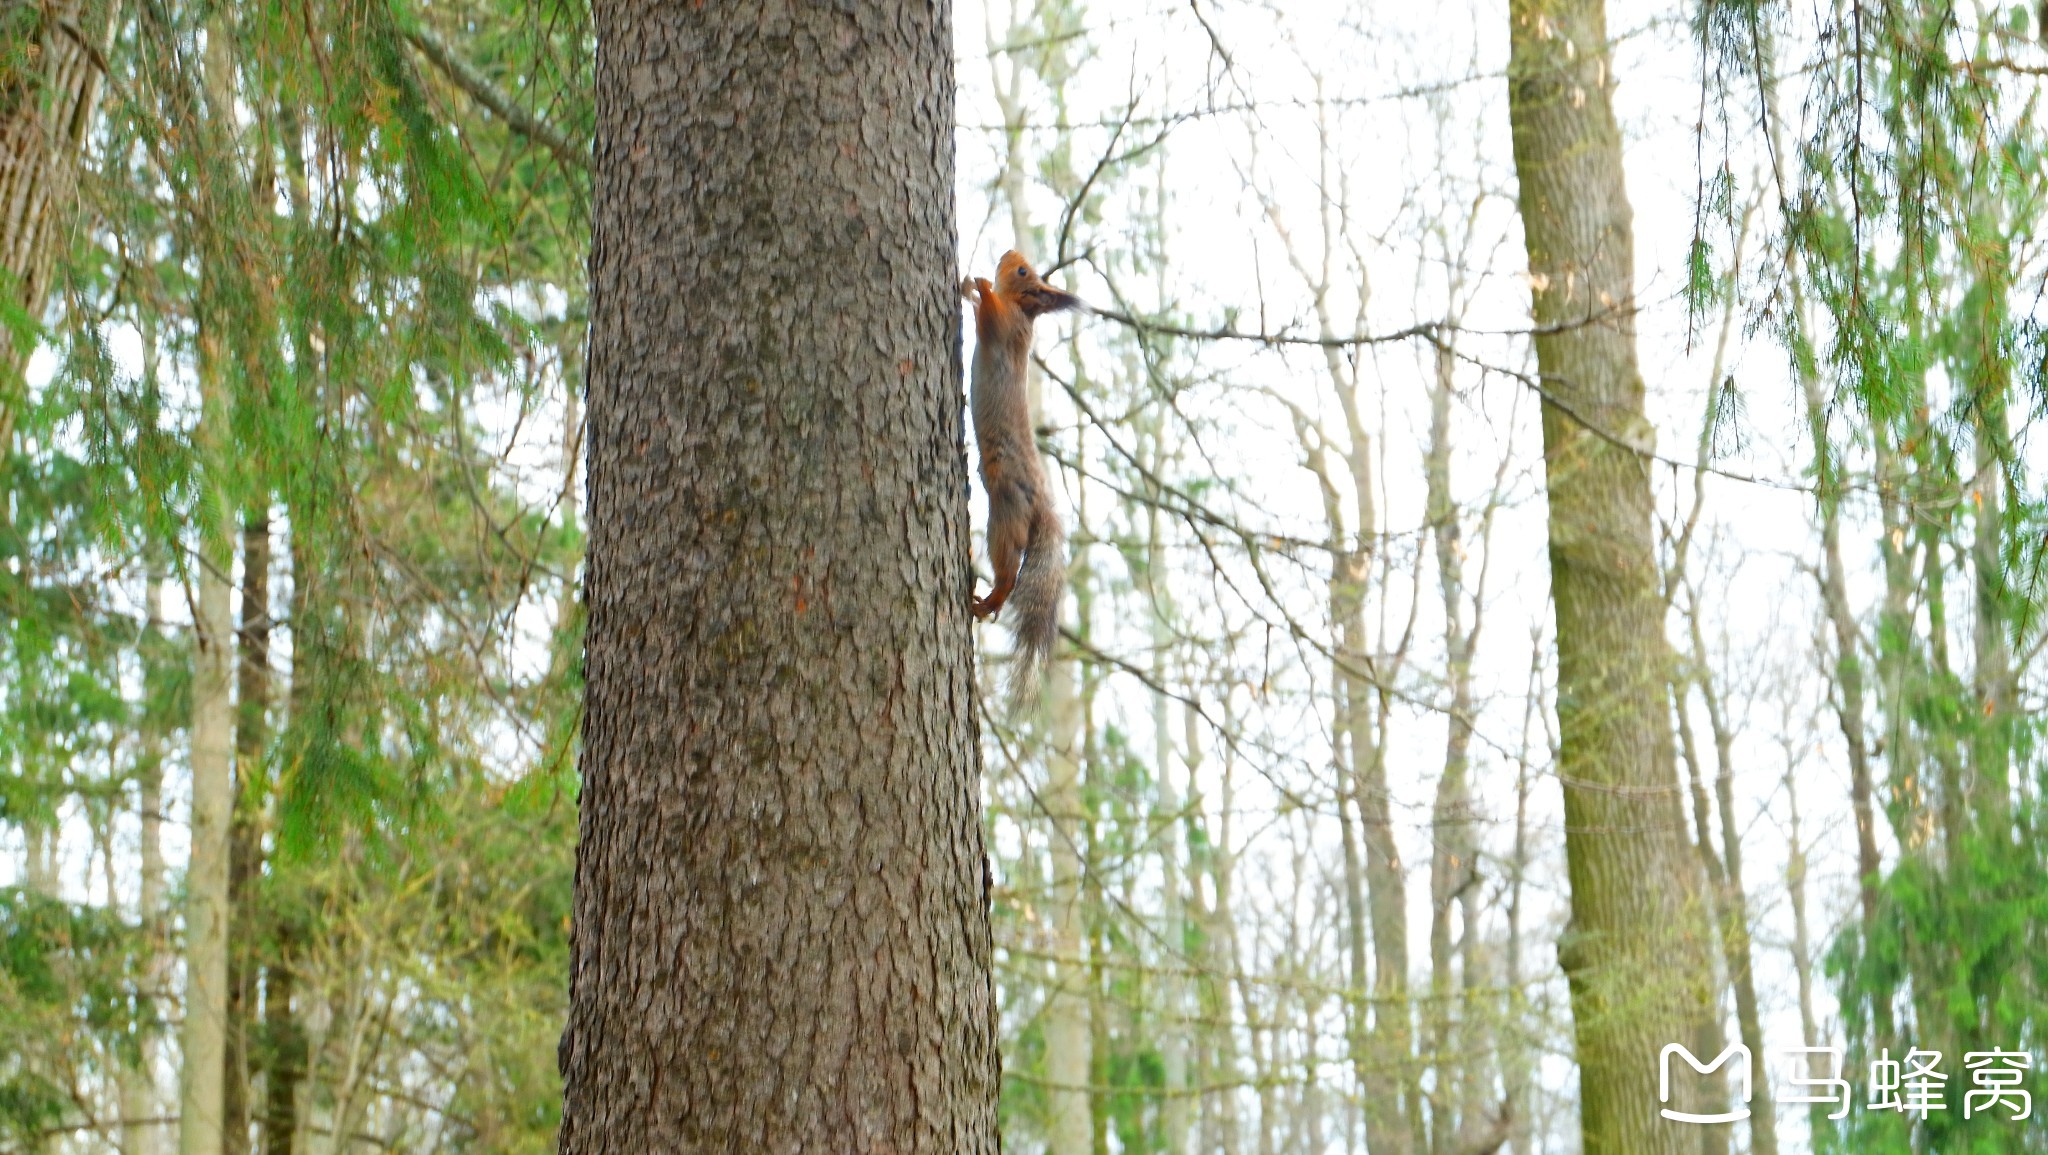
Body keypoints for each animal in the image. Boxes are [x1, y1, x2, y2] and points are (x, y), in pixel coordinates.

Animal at [962, 252, 1081, 700]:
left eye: (1023, 272)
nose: (1006, 255)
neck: (1025, 315)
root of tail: (1041, 507)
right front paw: (971, 288)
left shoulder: (1004, 327)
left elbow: (990, 313)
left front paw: (979, 283)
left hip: (1007, 508)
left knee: (1009, 568)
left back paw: (992, 597)